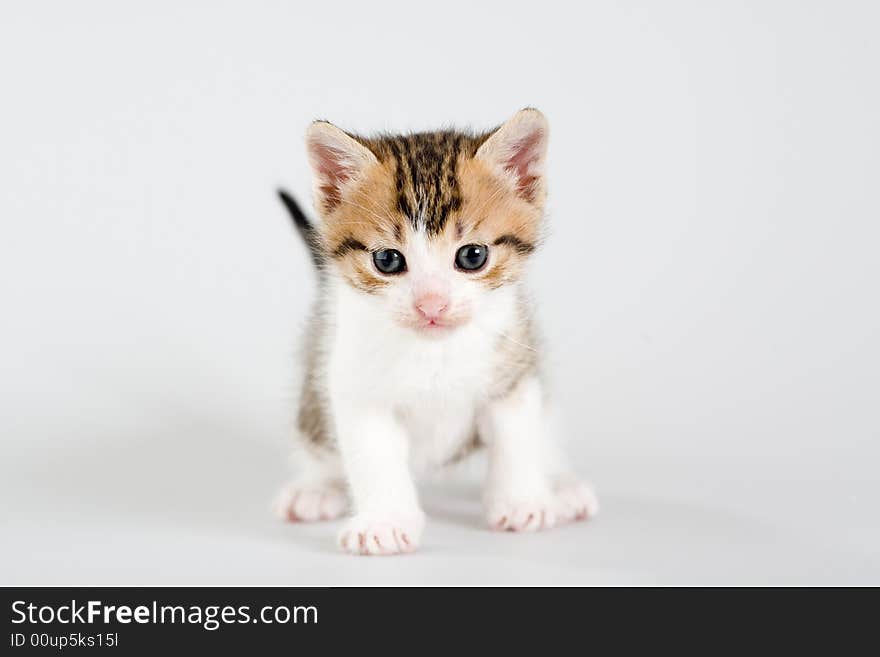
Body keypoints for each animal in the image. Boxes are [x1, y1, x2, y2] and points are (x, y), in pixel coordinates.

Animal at [272, 107, 596, 552]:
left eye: (473, 256)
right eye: (388, 260)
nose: (431, 304)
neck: (435, 349)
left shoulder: (514, 369)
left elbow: (516, 437)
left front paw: (522, 502)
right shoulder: (356, 386)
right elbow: (373, 456)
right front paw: (384, 522)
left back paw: (560, 487)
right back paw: (316, 489)